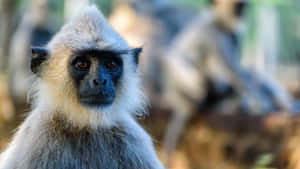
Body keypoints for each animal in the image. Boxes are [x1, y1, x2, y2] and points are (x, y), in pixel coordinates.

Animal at [0, 5, 164, 169]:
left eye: (111, 64)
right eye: (82, 64)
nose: (100, 81)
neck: (87, 127)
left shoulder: (133, 140)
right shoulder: (37, 138)